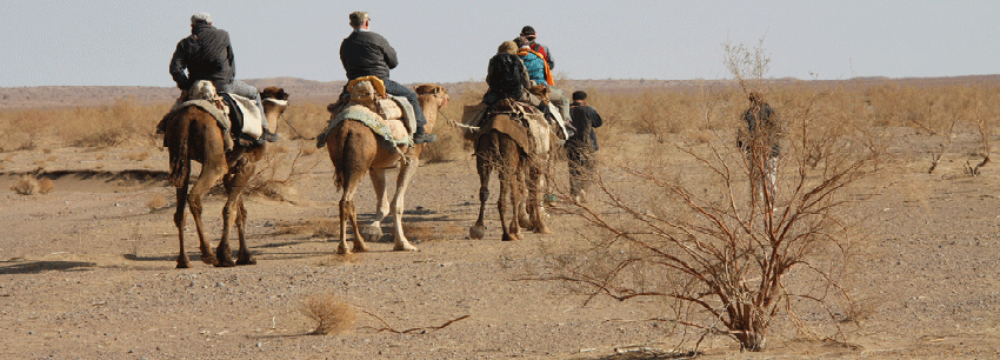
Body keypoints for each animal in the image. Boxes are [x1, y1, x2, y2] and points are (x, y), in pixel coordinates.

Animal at [163, 84, 290, 268]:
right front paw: (225, 255)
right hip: (215, 162)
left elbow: (240, 212)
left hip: (179, 158)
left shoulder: (230, 172)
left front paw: (246, 255)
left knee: (180, 211)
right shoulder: (247, 166)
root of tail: (189, 117)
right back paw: (208, 254)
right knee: (194, 196)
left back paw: (183, 260)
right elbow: (229, 209)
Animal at [324, 83, 450, 255]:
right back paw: (345, 247)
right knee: (346, 201)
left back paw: (360, 244)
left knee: (349, 202)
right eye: (443, 92)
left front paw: (373, 231)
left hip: (342, 164)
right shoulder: (411, 161)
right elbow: (397, 204)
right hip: (358, 164)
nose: (448, 96)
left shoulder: (377, 167)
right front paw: (403, 244)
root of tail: (345, 129)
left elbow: (382, 204)